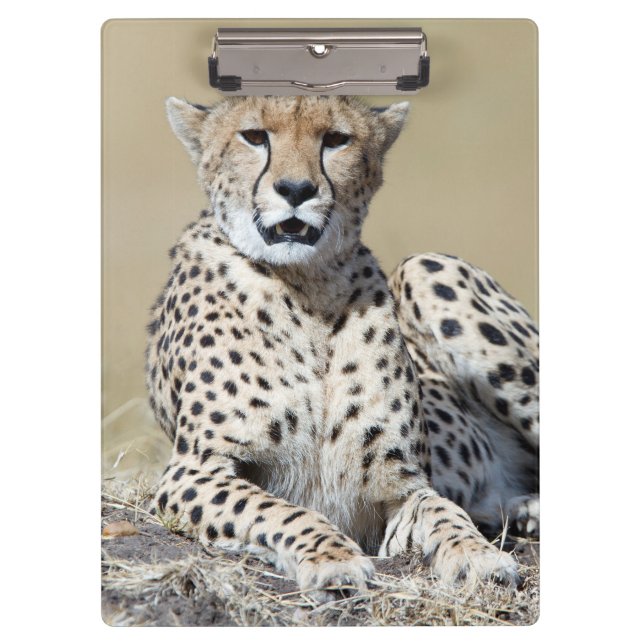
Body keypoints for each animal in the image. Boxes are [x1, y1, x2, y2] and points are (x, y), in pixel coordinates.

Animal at [145, 95, 539, 600]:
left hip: (426, 267)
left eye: (336, 140)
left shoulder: (404, 488)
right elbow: (276, 509)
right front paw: (331, 558)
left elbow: (445, 511)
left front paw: (478, 555)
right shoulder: (193, 470)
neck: (307, 288)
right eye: (253, 136)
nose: (296, 189)